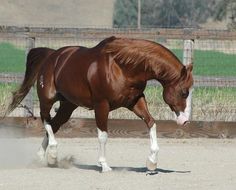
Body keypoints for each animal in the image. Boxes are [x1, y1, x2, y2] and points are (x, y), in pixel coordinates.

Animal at [6, 37, 193, 172]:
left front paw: (152, 162)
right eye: (184, 92)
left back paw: (42, 157)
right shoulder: (101, 105)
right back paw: (52, 153)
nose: (184, 120)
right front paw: (104, 165)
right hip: (47, 99)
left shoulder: (135, 101)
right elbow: (103, 135)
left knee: (53, 124)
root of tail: (52, 56)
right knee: (46, 120)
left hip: (68, 105)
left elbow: (151, 123)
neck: (123, 67)